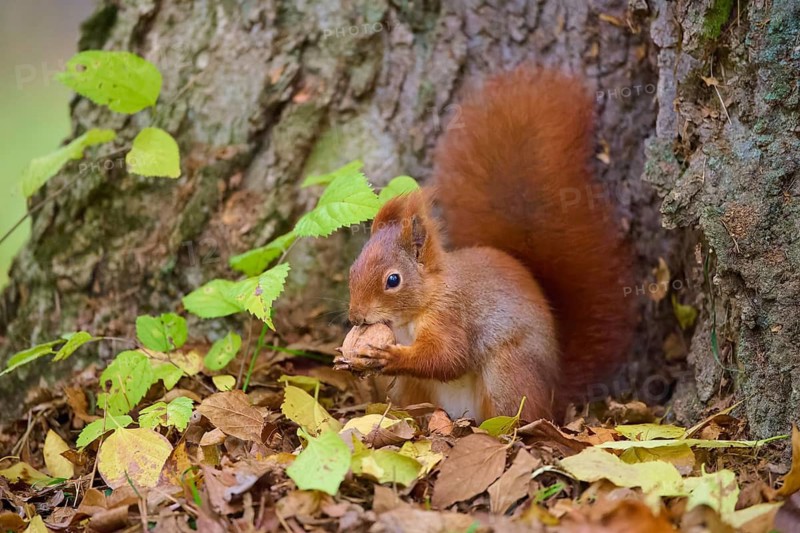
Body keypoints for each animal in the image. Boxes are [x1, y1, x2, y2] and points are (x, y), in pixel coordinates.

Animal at [344, 67, 635, 422]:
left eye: (393, 280)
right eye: (353, 269)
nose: (356, 317)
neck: (423, 304)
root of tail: (555, 391)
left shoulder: (452, 317)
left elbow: (448, 357)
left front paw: (390, 358)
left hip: (506, 373)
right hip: (414, 389)